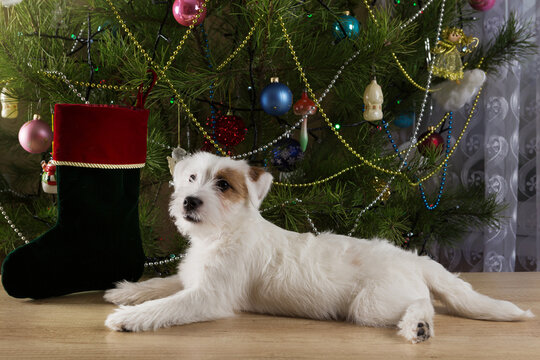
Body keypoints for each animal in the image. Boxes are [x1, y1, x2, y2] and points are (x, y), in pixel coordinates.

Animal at [103, 151, 532, 344]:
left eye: (223, 185)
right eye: (191, 178)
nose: (189, 201)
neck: (223, 233)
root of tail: (412, 257)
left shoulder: (209, 296)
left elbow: (167, 305)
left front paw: (129, 317)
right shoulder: (191, 278)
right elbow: (163, 284)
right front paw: (125, 291)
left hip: (371, 304)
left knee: (422, 302)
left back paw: (418, 326)